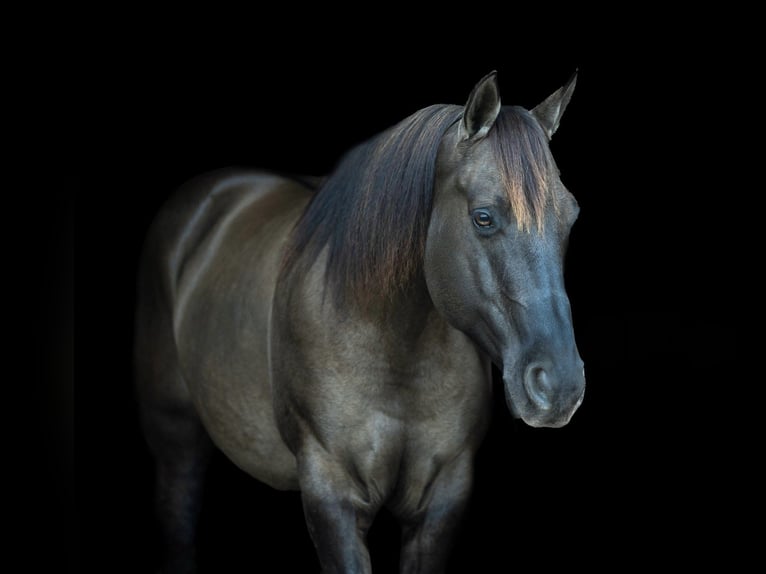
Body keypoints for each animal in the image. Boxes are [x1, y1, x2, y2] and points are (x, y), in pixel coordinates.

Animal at [134, 70, 584, 573]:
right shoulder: (334, 496)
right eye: (483, 217)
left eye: (571, 216)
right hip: (176, 440)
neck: (396, 353)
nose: (559, 386)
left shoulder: (442, 500)